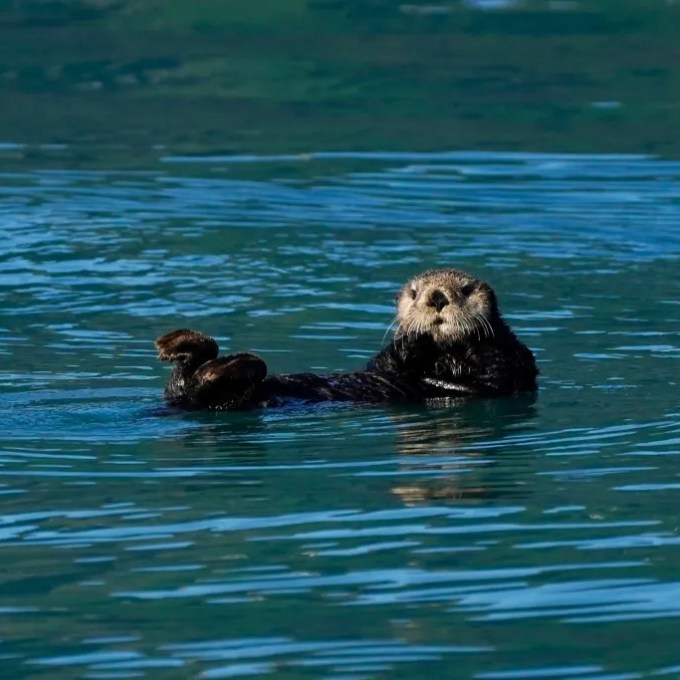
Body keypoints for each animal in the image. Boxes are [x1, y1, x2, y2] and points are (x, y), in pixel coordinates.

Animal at [155, 268, 538, 410]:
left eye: (465, 289)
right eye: (415, 292)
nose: (437, 298)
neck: (444, 357)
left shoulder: (512, 366)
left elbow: (494, 374)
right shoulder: (384, 362)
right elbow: (389, 362)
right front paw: (412, 340)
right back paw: (180, 343)